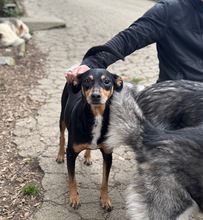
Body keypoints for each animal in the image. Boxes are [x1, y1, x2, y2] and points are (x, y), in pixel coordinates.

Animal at [56, 45, 126, 211]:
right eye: (87, 81)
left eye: (107, 81)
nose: (95, 96)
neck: (97, 116)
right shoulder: (71, 153)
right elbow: (72, 179)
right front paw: (74, 198)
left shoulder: (108, 154)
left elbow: (105, 181)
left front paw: (105, 200)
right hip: (62, 117)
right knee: (61, 136)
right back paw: (60, 155)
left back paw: (88, 157)